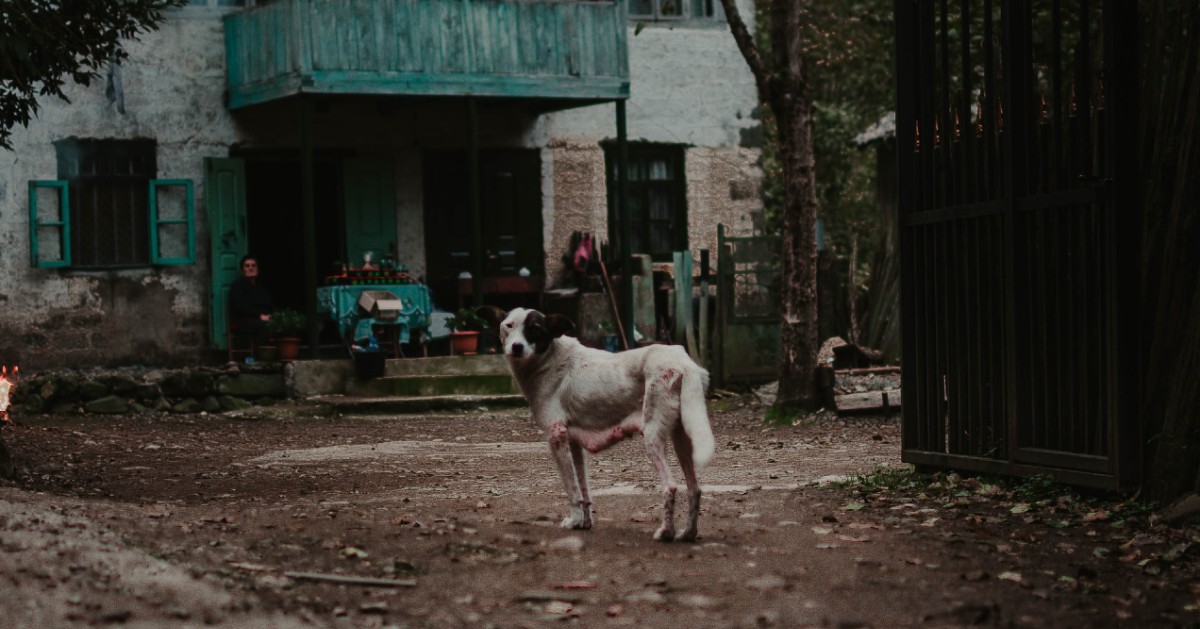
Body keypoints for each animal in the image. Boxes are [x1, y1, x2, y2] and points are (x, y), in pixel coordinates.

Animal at [480, 307, 715, 542]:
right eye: (509, 325)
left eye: (535, 330)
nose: (516, 347)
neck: (547, 359)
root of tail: (684, 364)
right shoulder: (573, 442)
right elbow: (583, 488)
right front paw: (583, 523)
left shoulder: (556, 435)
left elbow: (571, 489)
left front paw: (574, 520)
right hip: (682, 439)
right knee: (695, 489)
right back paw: (688, 533)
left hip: (652, 436)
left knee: (671, 487)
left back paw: (666, 532)